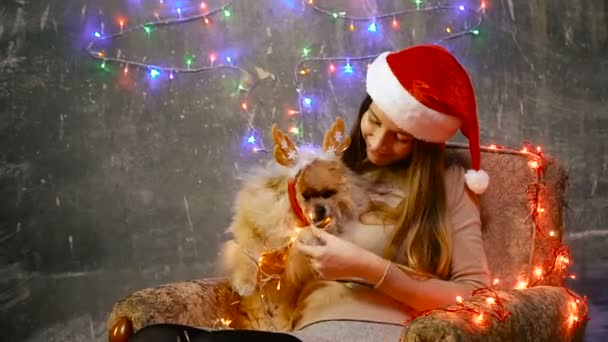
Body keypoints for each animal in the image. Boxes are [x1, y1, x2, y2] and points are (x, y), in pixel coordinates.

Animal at [218, 117, 370, 332]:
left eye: (329, 194)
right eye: (306, 196)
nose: (321, 209)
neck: (291, 217)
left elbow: (303, 241)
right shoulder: (253, 231)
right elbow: (248, 256)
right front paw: (244, 284)